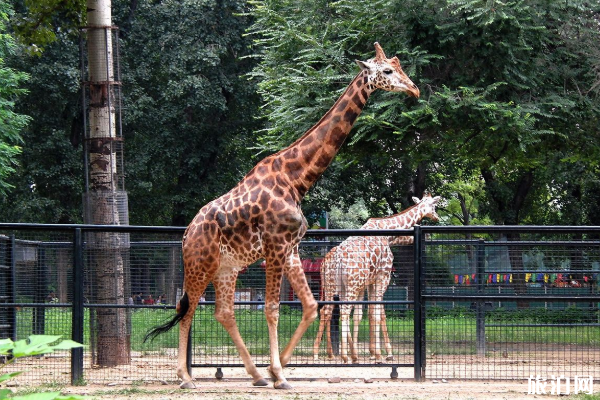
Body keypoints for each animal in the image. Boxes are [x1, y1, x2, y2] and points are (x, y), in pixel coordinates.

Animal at [145, 43, 418, 390]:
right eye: (387, 71)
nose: (414, 89)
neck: (295, 179)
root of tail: (185, 234)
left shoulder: (291, 249)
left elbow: (311, 306)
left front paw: (278, 368)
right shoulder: (274, 247)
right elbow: (273, 309)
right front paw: (280, 374)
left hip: (226, 268)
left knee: (223, 312)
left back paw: (256, 374)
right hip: (199, 264)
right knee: (189, 309)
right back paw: (185, 377)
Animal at [314, 194, 440, 362]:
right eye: (434, 205)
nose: (437, 217)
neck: (389, 233)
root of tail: (335, 259)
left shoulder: (370, 282)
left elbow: (366, 313)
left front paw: (372, 352)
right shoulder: (383, 276)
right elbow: (378, 314)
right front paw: (382, 354)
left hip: (338, 286)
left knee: (330, 310)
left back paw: (340, 353)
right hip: (350, 285)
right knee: (342, 311)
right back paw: (342, 355)